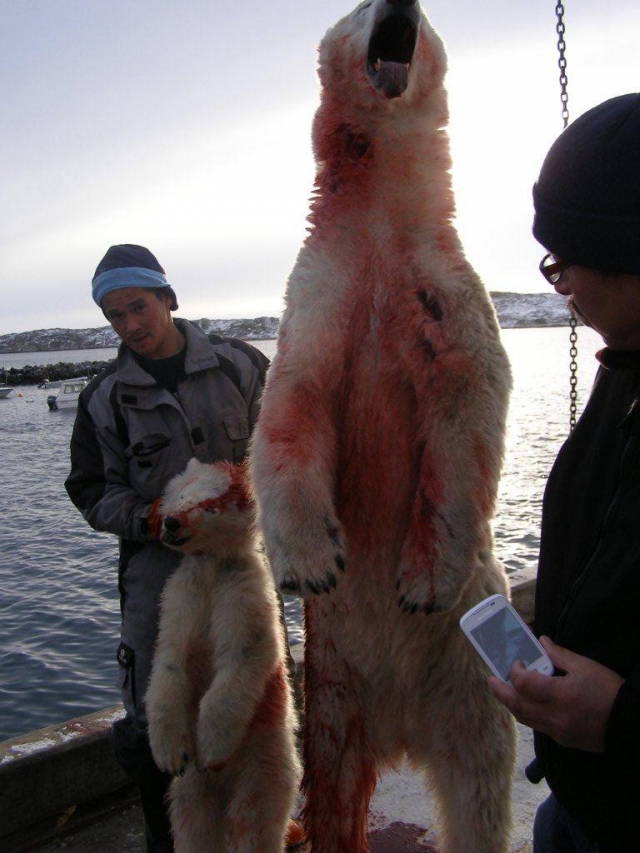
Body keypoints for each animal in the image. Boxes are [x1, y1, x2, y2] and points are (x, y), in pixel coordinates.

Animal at [145, 458, 302, 853]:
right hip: (194, 789)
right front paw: (170, 753)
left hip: (264, 759)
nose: (170, 522)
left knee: (255, 818)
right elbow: (169, 663)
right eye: (181, 494)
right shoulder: (182, 598)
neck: (212, 569)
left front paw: (211, 749)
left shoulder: (242, 598)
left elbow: (241, 661)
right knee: (193, 817)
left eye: (210, 506)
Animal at [249, 1, 516, 852]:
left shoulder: (444, 286)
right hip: (329, 687)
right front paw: (316, 560)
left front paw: (420, 580)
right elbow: (292, 405)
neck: (379, 226)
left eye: (425, 13)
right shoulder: (320, 291)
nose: (400, 6)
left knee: (477, 780)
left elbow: (467, 404)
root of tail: (399, 728)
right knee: (331, 785)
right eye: (361, 7)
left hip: (469, 670)